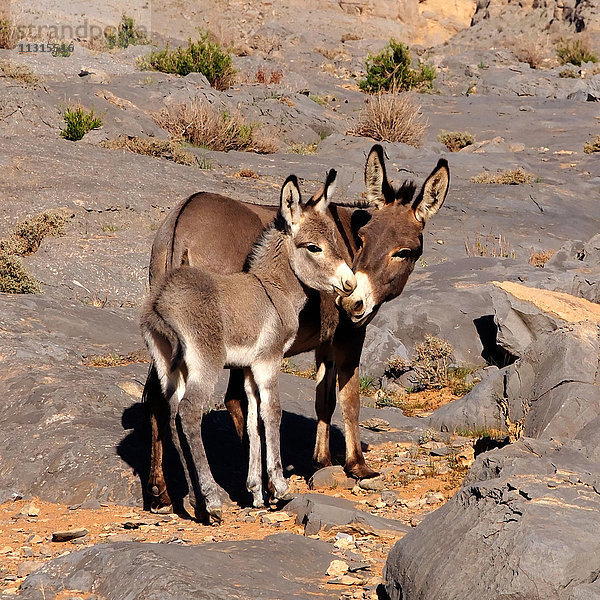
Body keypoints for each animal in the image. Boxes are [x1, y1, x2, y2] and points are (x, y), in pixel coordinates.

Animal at [139, 171, 356, 524]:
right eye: (314, 247)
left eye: (338, 241)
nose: (350, 284)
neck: (273, 287)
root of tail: (160, 303)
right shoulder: (269, 361)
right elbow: (273, 413)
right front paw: (279, 488)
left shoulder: (249, 367)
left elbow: (254, 419)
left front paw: (256, 492)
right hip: (205, 364)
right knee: (188, 412)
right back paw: (211, 500)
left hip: (169, 367)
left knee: (169, 414)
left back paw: (197, 502)